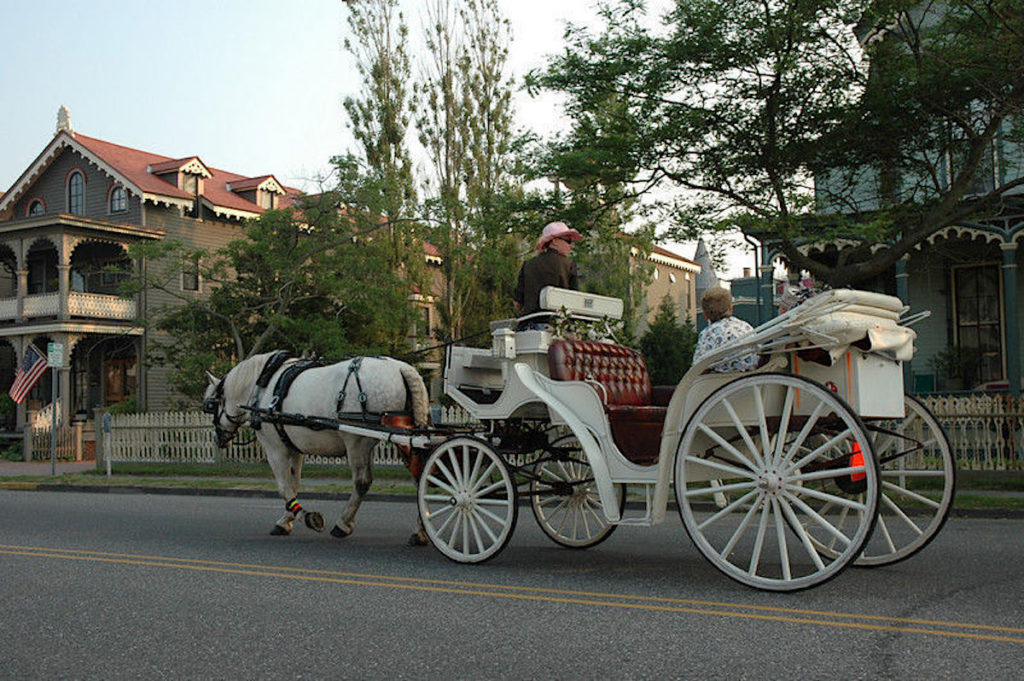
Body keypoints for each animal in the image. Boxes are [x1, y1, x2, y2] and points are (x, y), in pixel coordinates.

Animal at [201, 352, 430, 544]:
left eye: (210, 406)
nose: (218, 438)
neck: (262, 388)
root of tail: (401, 368)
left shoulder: (275, 449)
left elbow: (284, 487)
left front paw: (307, 517)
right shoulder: (294, 449)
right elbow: (293, 485)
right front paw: (287, 520)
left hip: (357, 441)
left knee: (362, 482)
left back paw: (343, 524)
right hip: (403, 436)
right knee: (420, 479)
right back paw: (420, 531)